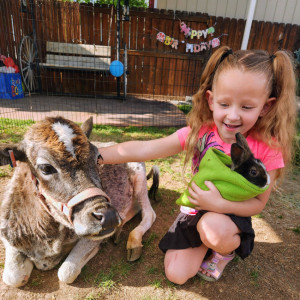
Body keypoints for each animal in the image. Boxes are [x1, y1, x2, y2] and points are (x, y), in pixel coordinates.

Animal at [0, 116, 159, 288]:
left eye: (98, 158)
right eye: (45, 168)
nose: (108, 216)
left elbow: (66, 272)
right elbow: (12, 277)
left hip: (139, 174)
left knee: (149, 213)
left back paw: (133, 242)